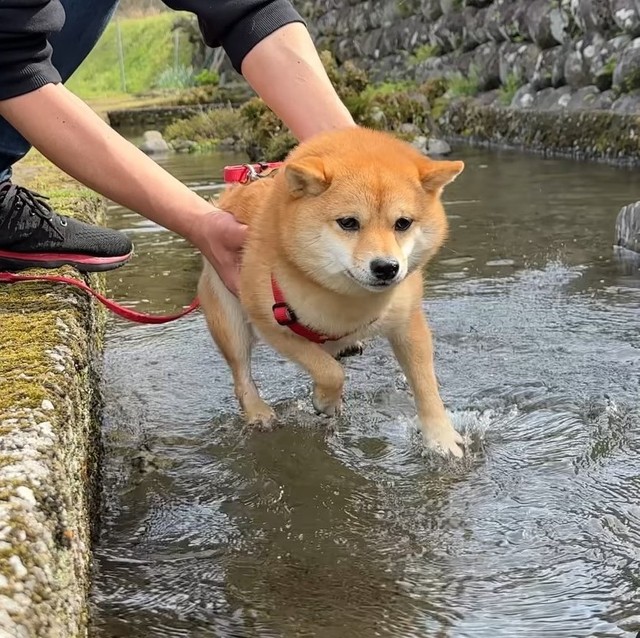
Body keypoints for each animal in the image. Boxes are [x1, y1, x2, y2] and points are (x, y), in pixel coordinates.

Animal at [199, 127, 464, 458]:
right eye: (348, 222)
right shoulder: (272, 325)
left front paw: (441, 436)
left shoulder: (407, 321)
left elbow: (426, 383)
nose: (386, 268)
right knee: (241, 374)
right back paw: (258, 412)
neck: (349, 302)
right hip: (230, 321)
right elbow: (329, 372)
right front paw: (326, 402)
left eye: (403, 223)